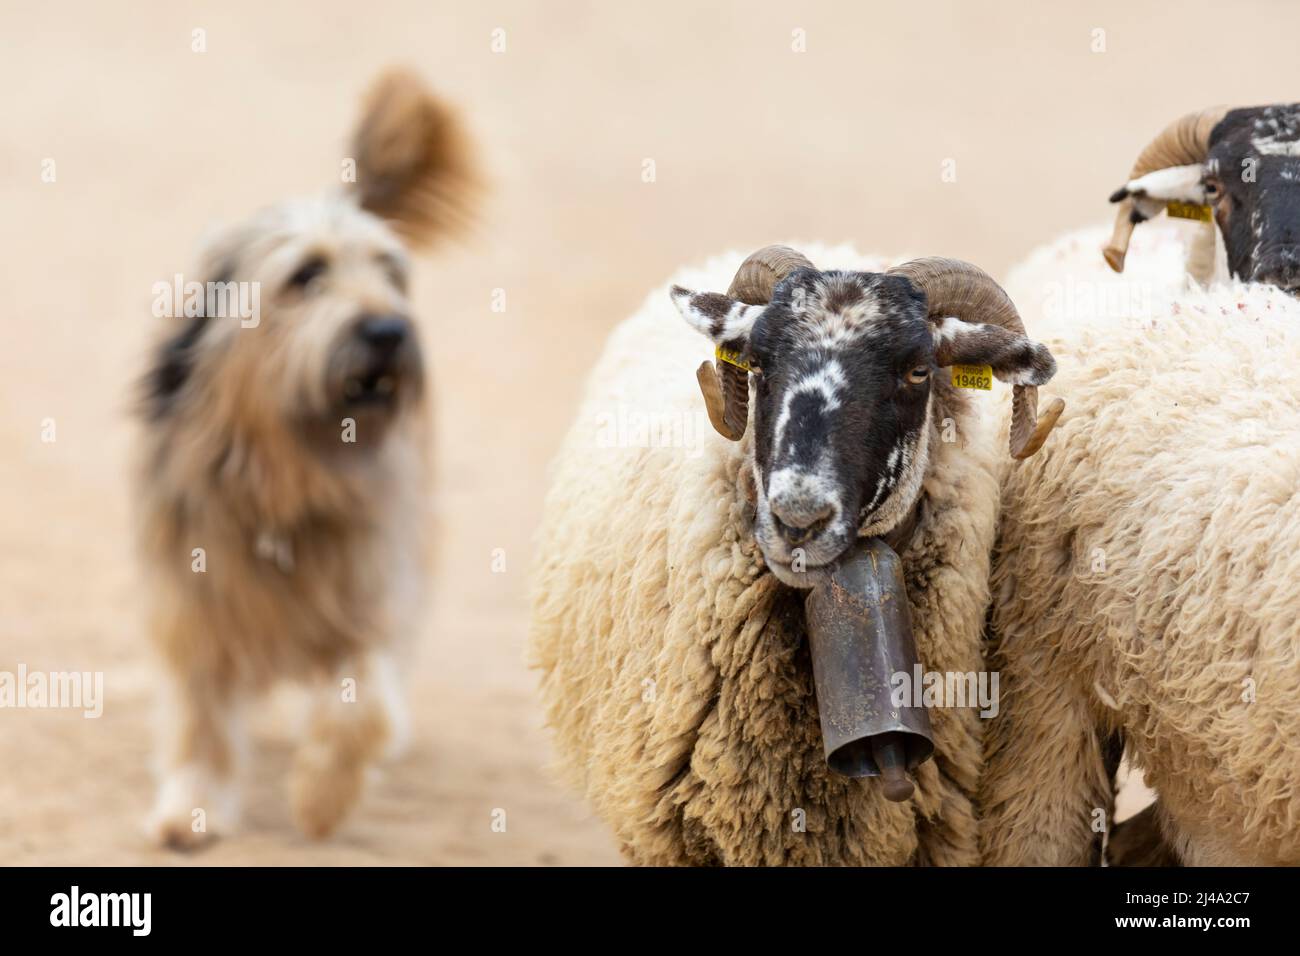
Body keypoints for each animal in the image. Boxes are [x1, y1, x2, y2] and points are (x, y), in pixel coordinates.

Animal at [135, 69, 478, 842]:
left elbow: (362, 702)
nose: (388, 330)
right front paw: (193, 806)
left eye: (391, 274)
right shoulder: (193, 599)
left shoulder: (371, 587)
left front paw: (323, 799)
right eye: (306, 275)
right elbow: (201, 714)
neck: (290, 474)